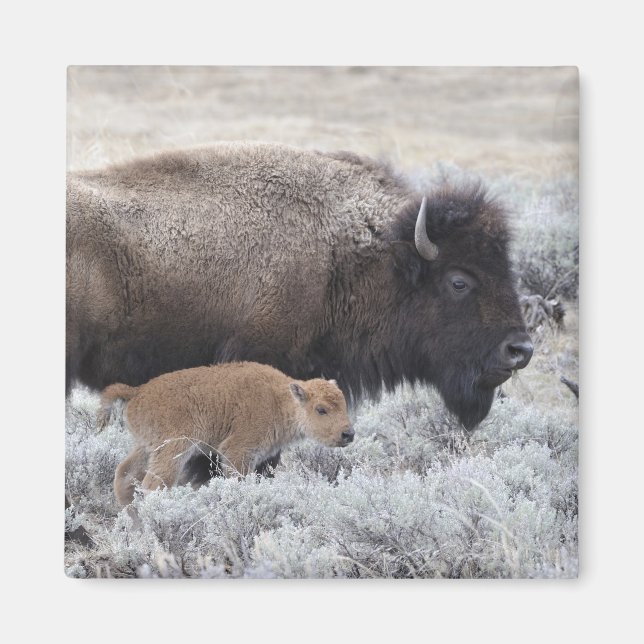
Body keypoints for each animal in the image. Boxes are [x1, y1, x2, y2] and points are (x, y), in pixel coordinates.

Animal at [98, 362, 353, 506]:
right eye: (321, 409)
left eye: (343, 404)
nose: (348, 434)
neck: (280, 400)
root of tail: (138, 391)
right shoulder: (237, 451)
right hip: (173, 449)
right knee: (152, 485)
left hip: (145, 448)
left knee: (124, 476)